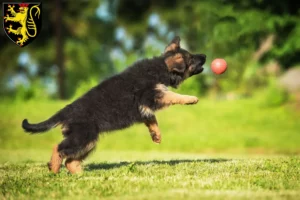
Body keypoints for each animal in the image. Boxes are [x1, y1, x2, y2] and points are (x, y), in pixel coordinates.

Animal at [22, 36, 207, 173]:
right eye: (191, 58)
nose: (205, 56)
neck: (161, 68)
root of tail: (66, 110)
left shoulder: (144, 107)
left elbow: (152, 120)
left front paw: (156, 135)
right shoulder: (152, 95)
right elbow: (173, 96)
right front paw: (191, 98)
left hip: (88, 141)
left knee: (70, 161)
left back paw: (80, 175)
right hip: (83, 136)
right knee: (58, 148)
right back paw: (53, 169)